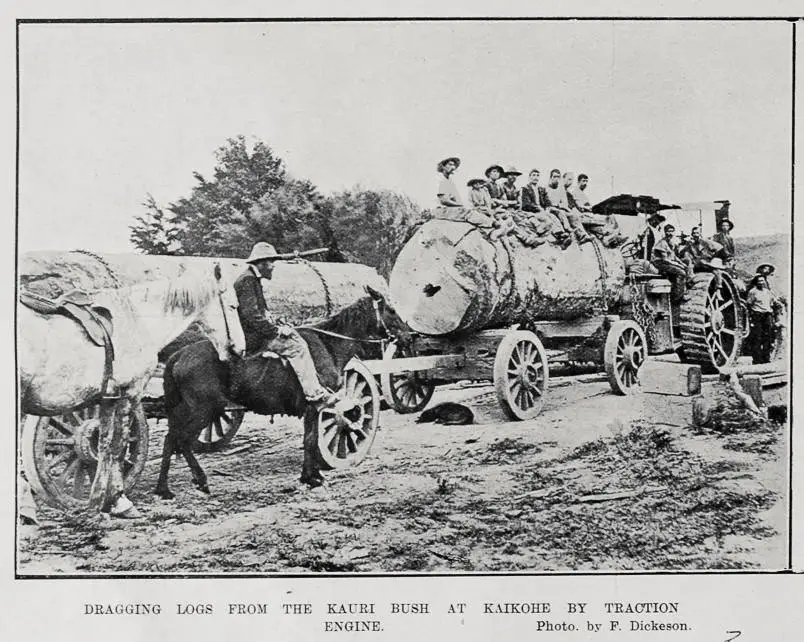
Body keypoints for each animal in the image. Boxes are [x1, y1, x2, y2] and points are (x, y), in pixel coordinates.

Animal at [18, 258, 245, 512]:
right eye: (233, 306)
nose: (239, 350)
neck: (138, 319)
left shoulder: (107, 397)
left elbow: (105, 445)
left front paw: (99, 499)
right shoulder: (130, 393)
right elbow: (120, 445)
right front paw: (119, 499)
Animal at [155, 284, 412, 496]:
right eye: (390, 309)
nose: (409, 337)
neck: (327, 345)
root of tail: (179, 355)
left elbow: (311, 439)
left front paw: (312, 475)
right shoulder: (314, 407)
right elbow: (311, 440)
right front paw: (312, 478)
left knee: (171, 439)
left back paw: (164, 488)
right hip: (203, 410)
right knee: (181, 440)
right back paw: (196, 481)